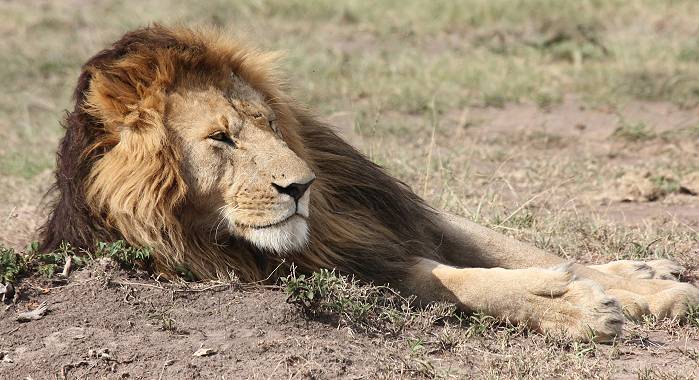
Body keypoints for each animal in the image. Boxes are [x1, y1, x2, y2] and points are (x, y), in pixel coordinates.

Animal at [39, 25, 699, 342]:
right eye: (220, 139)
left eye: (268, 122)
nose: (302, 186)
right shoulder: (337, 266)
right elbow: (453, 279)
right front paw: (573, 305)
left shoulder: (379, 217)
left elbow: (518, 249)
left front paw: (652, 289)